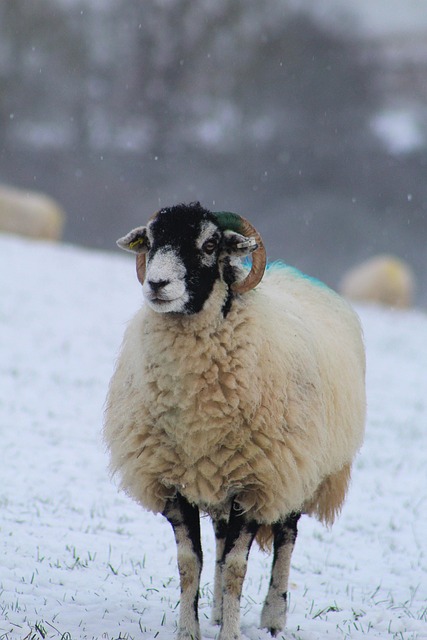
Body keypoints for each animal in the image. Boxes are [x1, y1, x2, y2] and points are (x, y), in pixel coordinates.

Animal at [104, 202, 366, 640]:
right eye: (151, 240)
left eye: (209, 245)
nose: (156, 284)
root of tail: (291, 274)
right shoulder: (176, 482)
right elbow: (191, 563)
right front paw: (189, 631)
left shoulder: (256, 484)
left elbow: (236, 570)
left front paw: (230, 632)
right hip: (221, 477)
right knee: (221, 540)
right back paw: (215, 612)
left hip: (296, 470)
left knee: (286, 539)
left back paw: (273, 617)